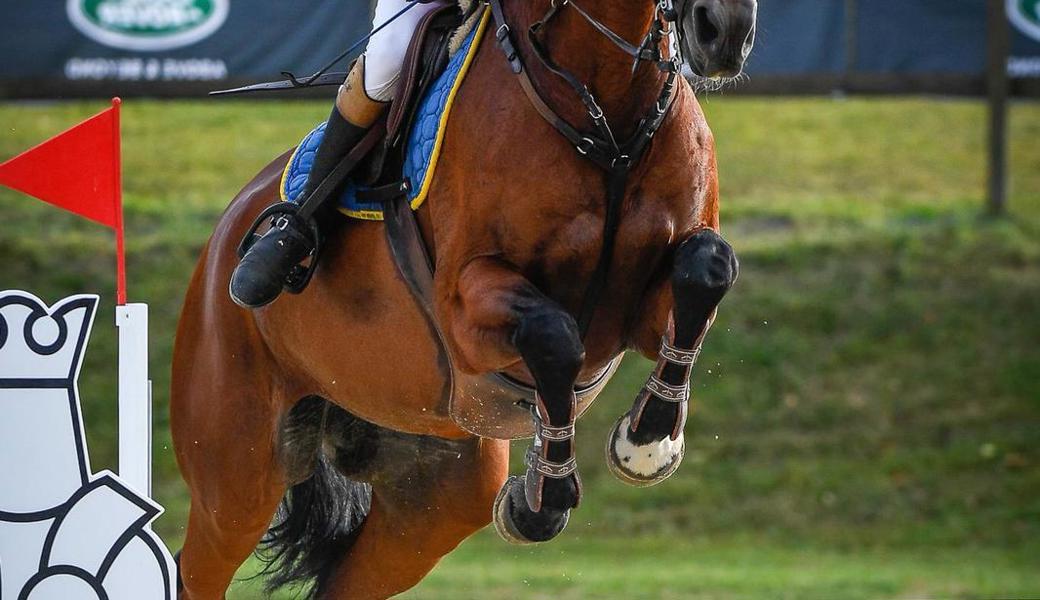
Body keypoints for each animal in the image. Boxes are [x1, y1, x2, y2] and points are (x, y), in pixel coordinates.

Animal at [170, 0, 757, 594]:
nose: (724, 31)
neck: (608, 113)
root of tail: (221, 240)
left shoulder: (633, 313)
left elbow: (707, 267)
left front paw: (647, 441)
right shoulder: (464, 309)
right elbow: (552, 333)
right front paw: (544, 497)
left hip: (434, 498)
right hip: (236, 476)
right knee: (198, 566)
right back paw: (273, 254)